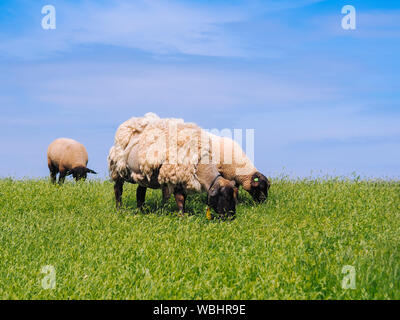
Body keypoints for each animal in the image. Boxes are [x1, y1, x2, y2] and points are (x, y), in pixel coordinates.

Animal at [107, 113, 238, 220]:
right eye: (225, 197)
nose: (231, 218)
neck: (199, 164)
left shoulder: (181, 180)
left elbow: (180, 198)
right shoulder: (174, 177)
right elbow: (179, 199)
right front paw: (181, 216)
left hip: (142, 175)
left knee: (140, 192)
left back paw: (140, 210)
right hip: (118, 169)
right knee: (118, 189)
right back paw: (119, 209)